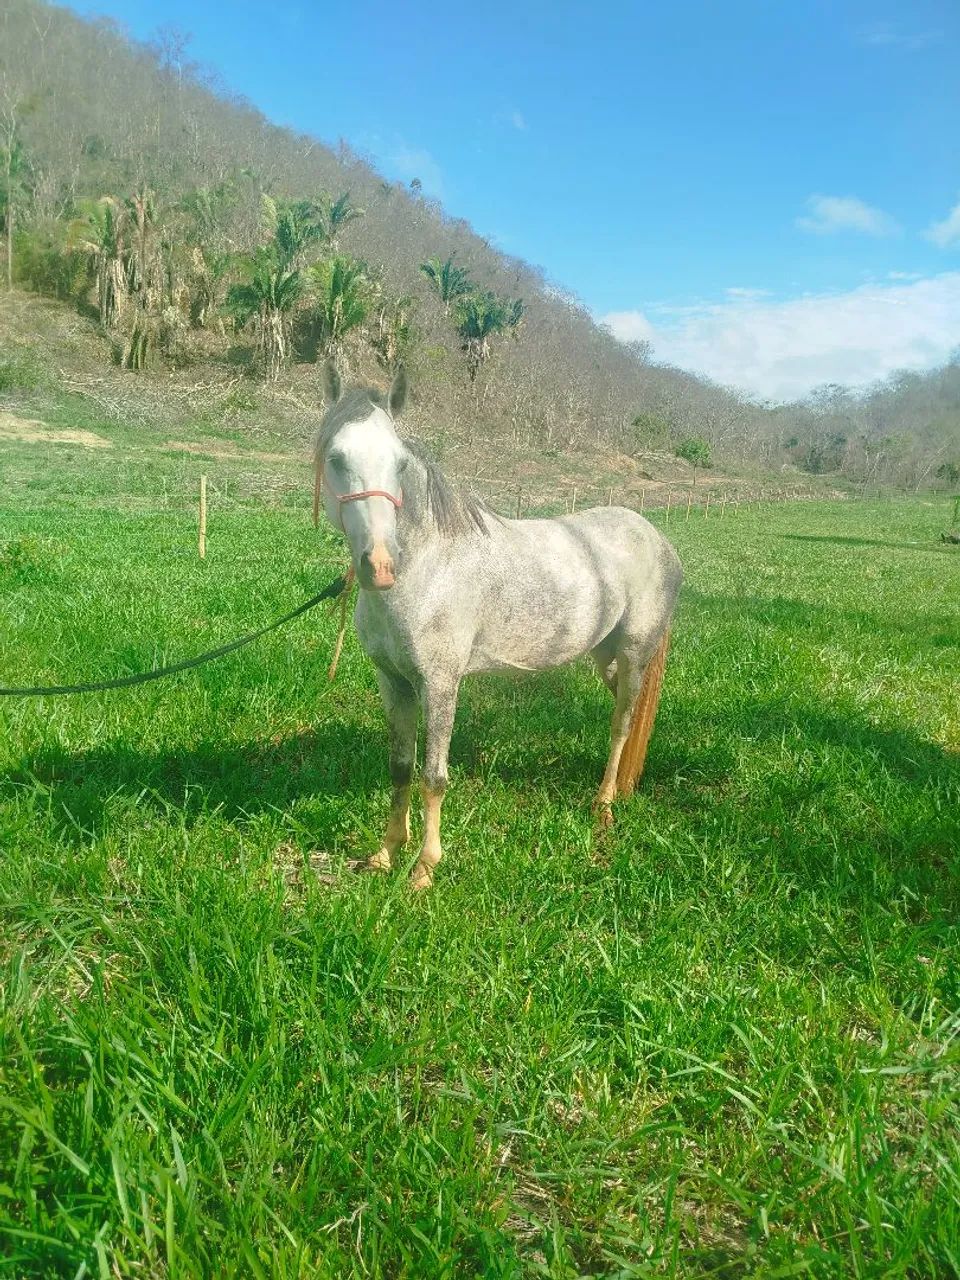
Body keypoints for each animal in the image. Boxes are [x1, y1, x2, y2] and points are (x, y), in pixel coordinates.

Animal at [314, 364, 683, 889]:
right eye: (336, 457)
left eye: (400, 464)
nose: (380, 565)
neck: (426, 566)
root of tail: (657, 539)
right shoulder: (394, 682)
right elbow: (401, 768)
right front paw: (385, 855)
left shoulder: (440, 684)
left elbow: (434, 776)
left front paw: (423, 869)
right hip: (605, 655)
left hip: (633, 656)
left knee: (621, 723)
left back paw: (604, 806)